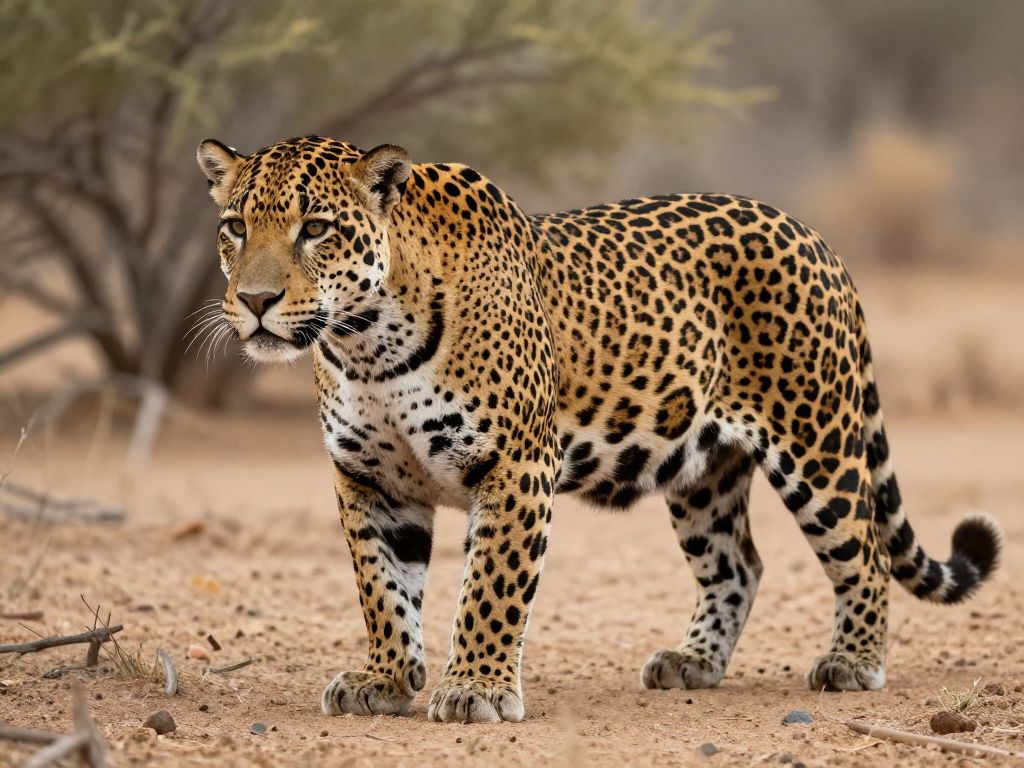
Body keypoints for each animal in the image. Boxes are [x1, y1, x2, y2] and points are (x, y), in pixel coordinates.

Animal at [196, 134, 1001, 724]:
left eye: (316, 230)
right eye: (235, 227)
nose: (256, 302)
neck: (368, 345)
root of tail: (814, 236)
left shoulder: (516, 466)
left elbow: (490, 586)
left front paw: (477, 689)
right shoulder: (367, 479)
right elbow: (383, 589)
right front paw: (386, 679)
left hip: (818, 442)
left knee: (864, 551)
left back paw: (854, 662)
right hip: (702, 472)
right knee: (739, 564)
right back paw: (693, 662)